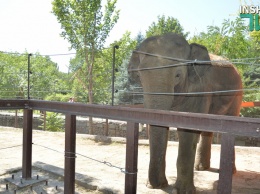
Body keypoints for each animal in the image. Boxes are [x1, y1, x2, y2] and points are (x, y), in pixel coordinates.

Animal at [127, 32, 242, 193]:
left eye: (178, 75)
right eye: (139, 76)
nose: (156, 185)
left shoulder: (198, 91)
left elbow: (188, 132)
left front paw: (183, 190)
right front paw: (158, 185)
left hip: (237, 94)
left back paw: (230, 171)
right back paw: (201, 168)